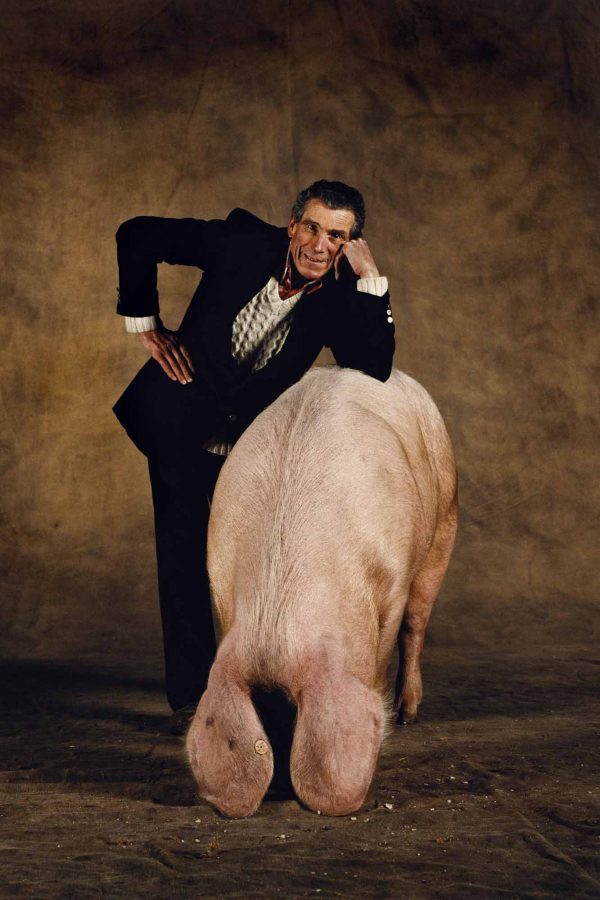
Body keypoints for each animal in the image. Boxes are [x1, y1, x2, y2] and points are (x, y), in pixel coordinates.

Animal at [185, 366, 458, 816]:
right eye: (268, 718)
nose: (280, 782)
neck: (276, 616)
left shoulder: (394, 582)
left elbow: (388, 642)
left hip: (445, 522)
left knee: (416, 624)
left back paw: (407, 714)